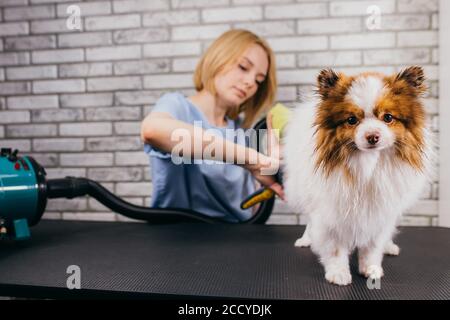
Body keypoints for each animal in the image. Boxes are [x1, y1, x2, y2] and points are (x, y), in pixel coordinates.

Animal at [284, 66, 432, 286]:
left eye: (388, 118)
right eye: (352, 120)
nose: (372, 136)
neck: (367, 165)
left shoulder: (380, 211)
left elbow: (372, 246)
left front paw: (371, 269)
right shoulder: (329, 213)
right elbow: (335, 249)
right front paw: (338, 273)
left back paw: (389, 246)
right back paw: (306, 239)